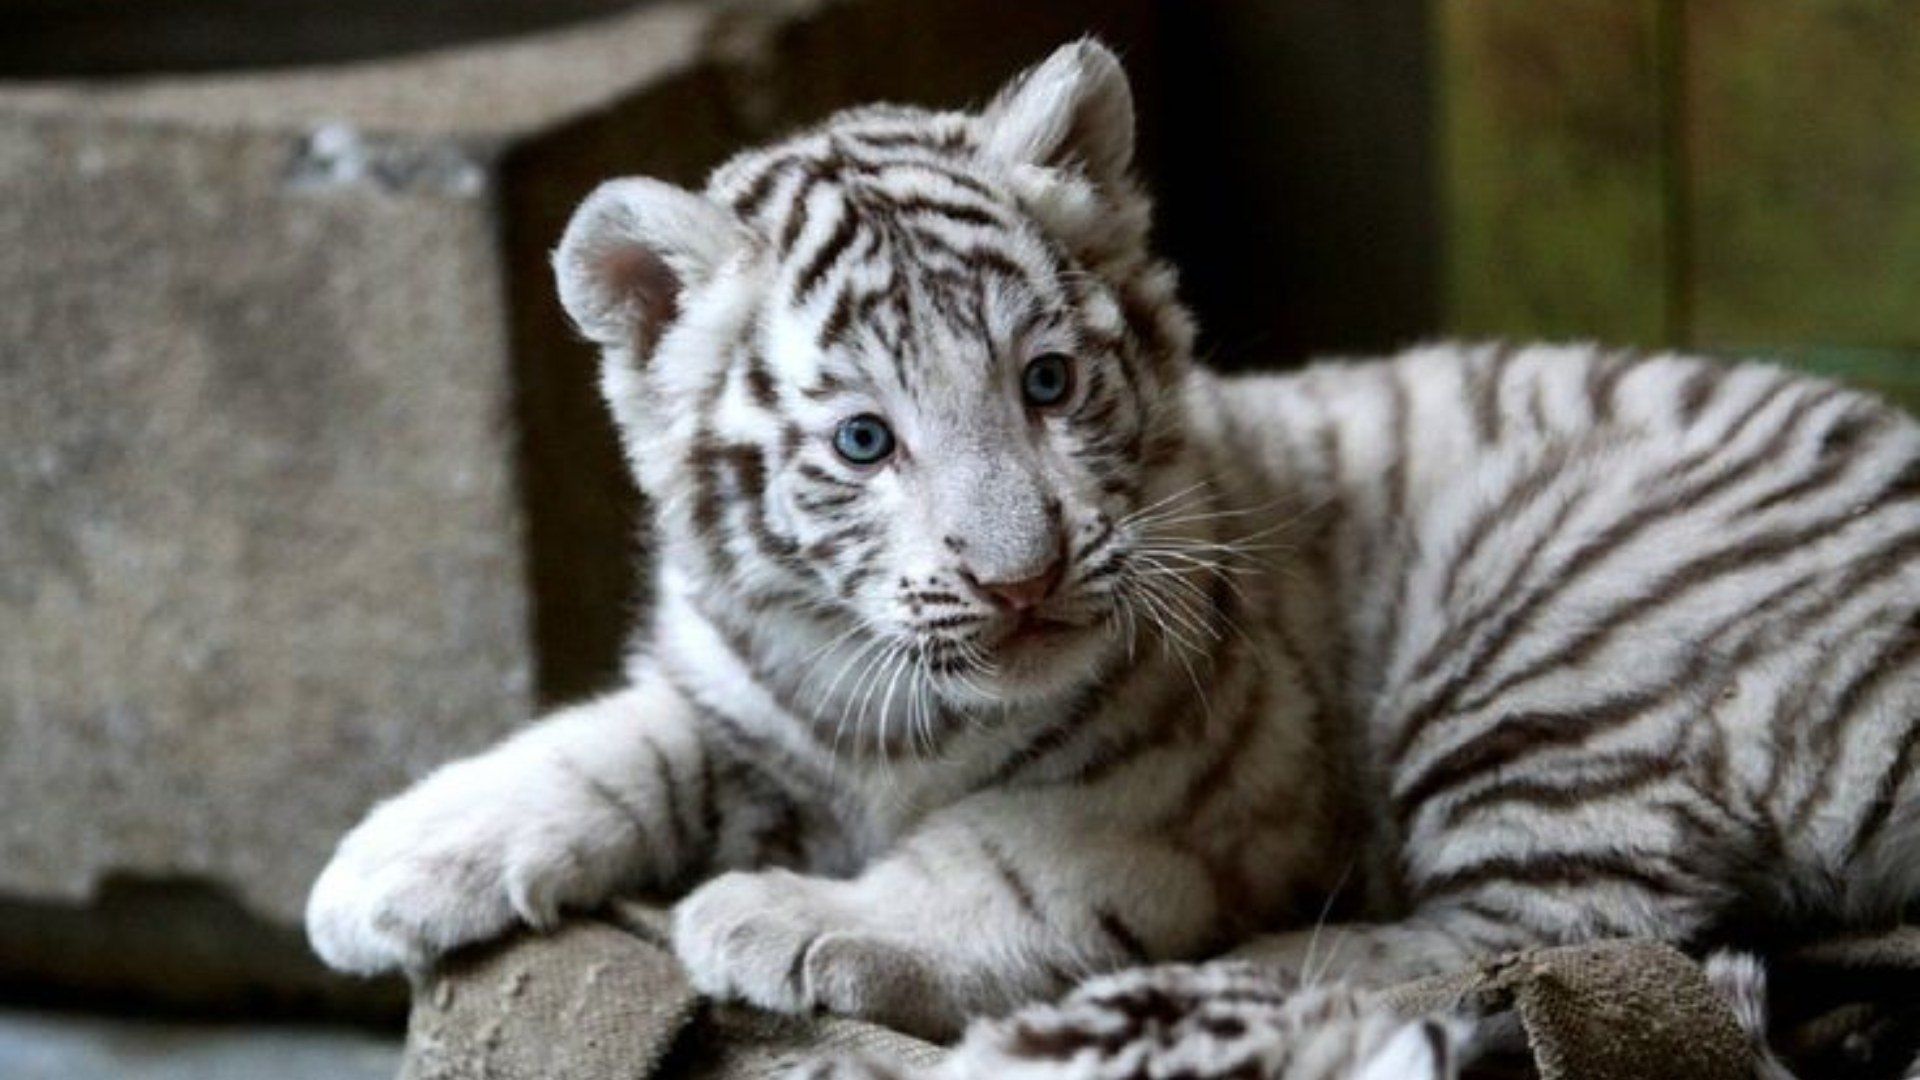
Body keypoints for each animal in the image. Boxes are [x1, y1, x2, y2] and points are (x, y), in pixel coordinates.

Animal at [305, 37, 1920, 1069]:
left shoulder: (1204, 780)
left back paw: (1240, 981)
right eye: (865, 442)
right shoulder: (749, 695)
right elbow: (612, 741)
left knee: (1565, 932)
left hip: (1551, 651)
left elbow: (1006, 864)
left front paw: (783, 914)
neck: (881, 706)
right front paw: (385, 864)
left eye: (1046, 382)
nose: (1021, 576)